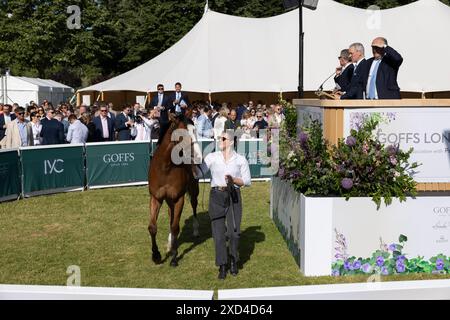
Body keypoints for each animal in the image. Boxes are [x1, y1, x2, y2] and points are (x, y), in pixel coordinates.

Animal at [148, 111, 199, 266]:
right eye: (182, 132)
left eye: (195, 130)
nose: (196, 154)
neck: (165, 167)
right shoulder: (156, 198)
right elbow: (152, 227)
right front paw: (156, 255)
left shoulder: (178, 198)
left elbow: (175, 227)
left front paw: (174, 257)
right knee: (171, 216)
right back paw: (170, 243)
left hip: (193, 190)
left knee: (194, 206)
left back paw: (195, 230)